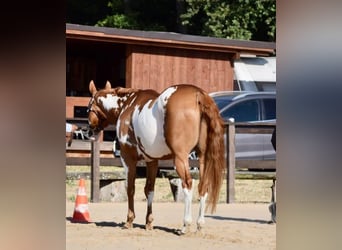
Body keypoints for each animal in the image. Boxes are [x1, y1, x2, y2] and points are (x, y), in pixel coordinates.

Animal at [87, 80, 226, 234]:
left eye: (88, 106)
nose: (89, 129)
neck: (127, 105)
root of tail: (198, 94)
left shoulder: (128, 159)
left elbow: (130, 188)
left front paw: (129, 220)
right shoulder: (152, 161)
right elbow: (149, 190)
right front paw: (149, 222)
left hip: (180, 159)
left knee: (188, 185)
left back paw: (185, 225)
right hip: (202, 157)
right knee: (203, 186)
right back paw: (200, 225)